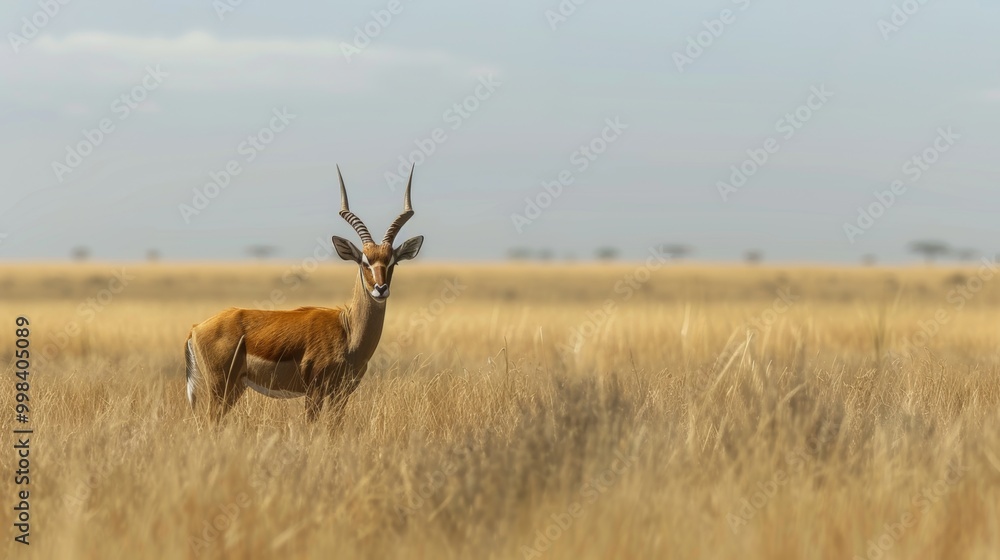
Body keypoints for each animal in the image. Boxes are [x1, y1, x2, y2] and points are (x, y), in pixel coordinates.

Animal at [185, 166, 424, 422]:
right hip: (221, 388)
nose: (380, 289)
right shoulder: (314, 391)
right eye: (364, 262)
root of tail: (196, 328)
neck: (348, 331)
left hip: (235, 388)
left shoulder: (341, 394)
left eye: (392, 262)